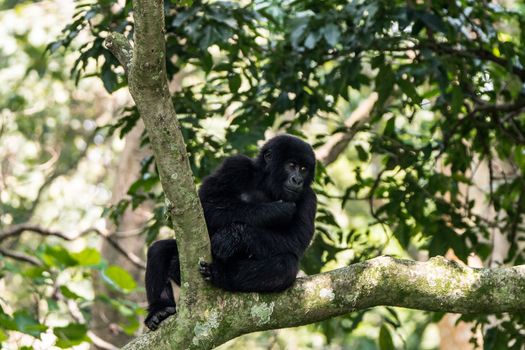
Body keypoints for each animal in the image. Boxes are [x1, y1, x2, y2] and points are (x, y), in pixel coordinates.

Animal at [143, 134, 316, 330]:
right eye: (291, 165)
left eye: (304, 169)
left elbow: (295, 239)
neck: (267, 185)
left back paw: (219, 273)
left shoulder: (309, 198)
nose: (297, 180)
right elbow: (206, 204)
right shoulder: (235, 165)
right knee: (159, 251)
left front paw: (233, 237)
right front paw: (275, 211)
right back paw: (159, 310)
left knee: (285, 266)